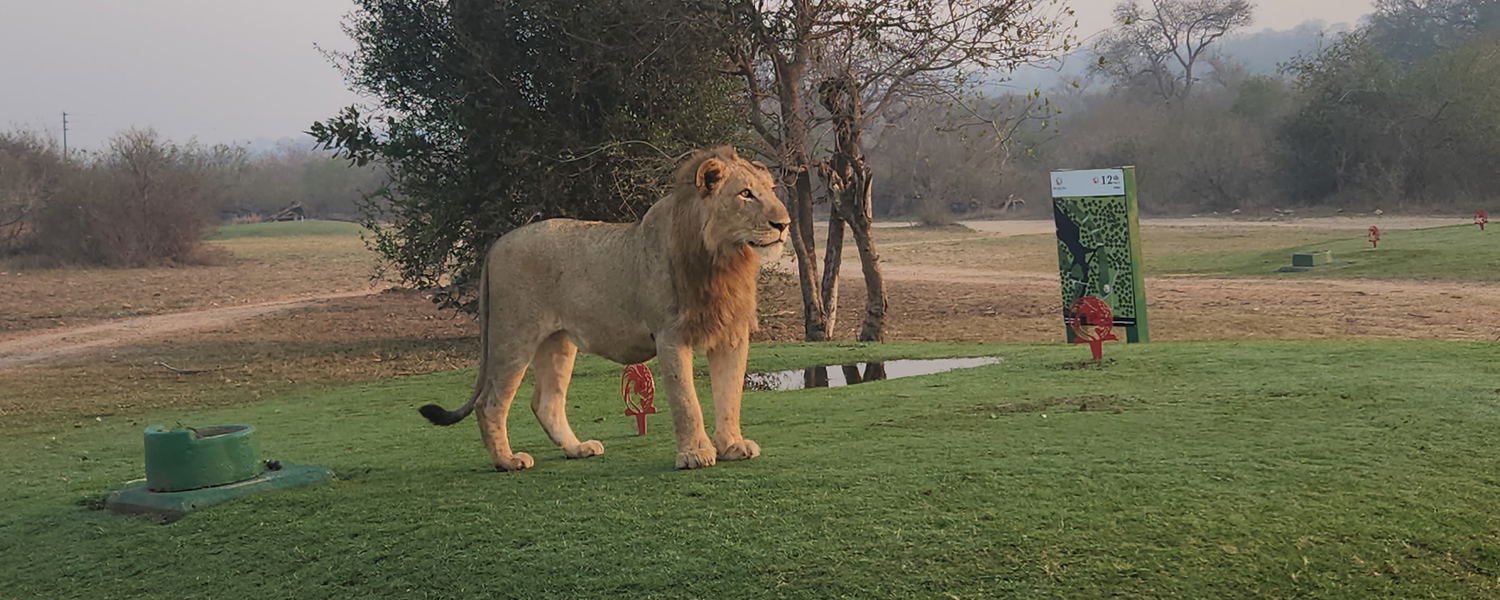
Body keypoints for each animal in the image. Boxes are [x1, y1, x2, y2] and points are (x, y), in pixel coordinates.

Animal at [419, 146, 791, 471]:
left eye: (771, 191)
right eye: (745, 194)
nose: (784, 224)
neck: (723, 259)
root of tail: (497, 244)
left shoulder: (731, 334)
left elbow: (730, 396)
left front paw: (732, 446)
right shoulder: (670, 336)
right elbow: (687, 402)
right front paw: (695, 454)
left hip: (557, 341)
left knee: (546, 402)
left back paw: (577, 449)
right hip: (514, 336)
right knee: (491, 402)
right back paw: (507, 461)